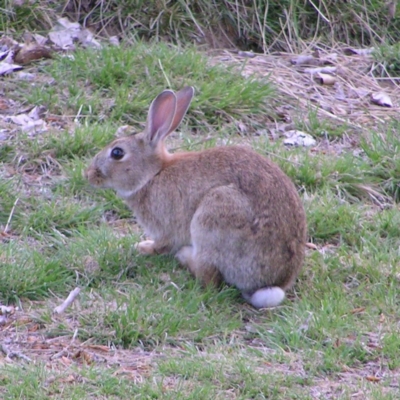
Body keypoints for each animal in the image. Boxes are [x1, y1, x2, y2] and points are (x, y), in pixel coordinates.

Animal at [85, 86, 306, 308]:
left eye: (117, 153)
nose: (88, 175)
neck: (153, 174)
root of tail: (272, 283)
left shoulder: (165, 226)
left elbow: (162, 245)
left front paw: (143, 247)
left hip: (212, 217)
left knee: (209, 277)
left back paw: (184, 257)